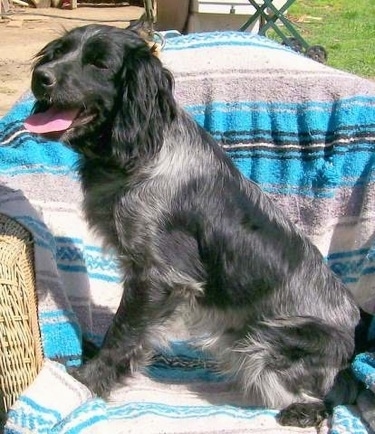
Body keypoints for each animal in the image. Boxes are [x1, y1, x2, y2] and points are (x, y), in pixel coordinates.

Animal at [23, 23, 362, 428]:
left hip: (267, 339)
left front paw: (90, 379)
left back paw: (301, 411)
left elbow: (123, 333)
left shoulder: (161, 277)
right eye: (59, 52)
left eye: (100, 64)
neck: (142, 154)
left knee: (324, 400)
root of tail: (349, 348)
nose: (40, 77)